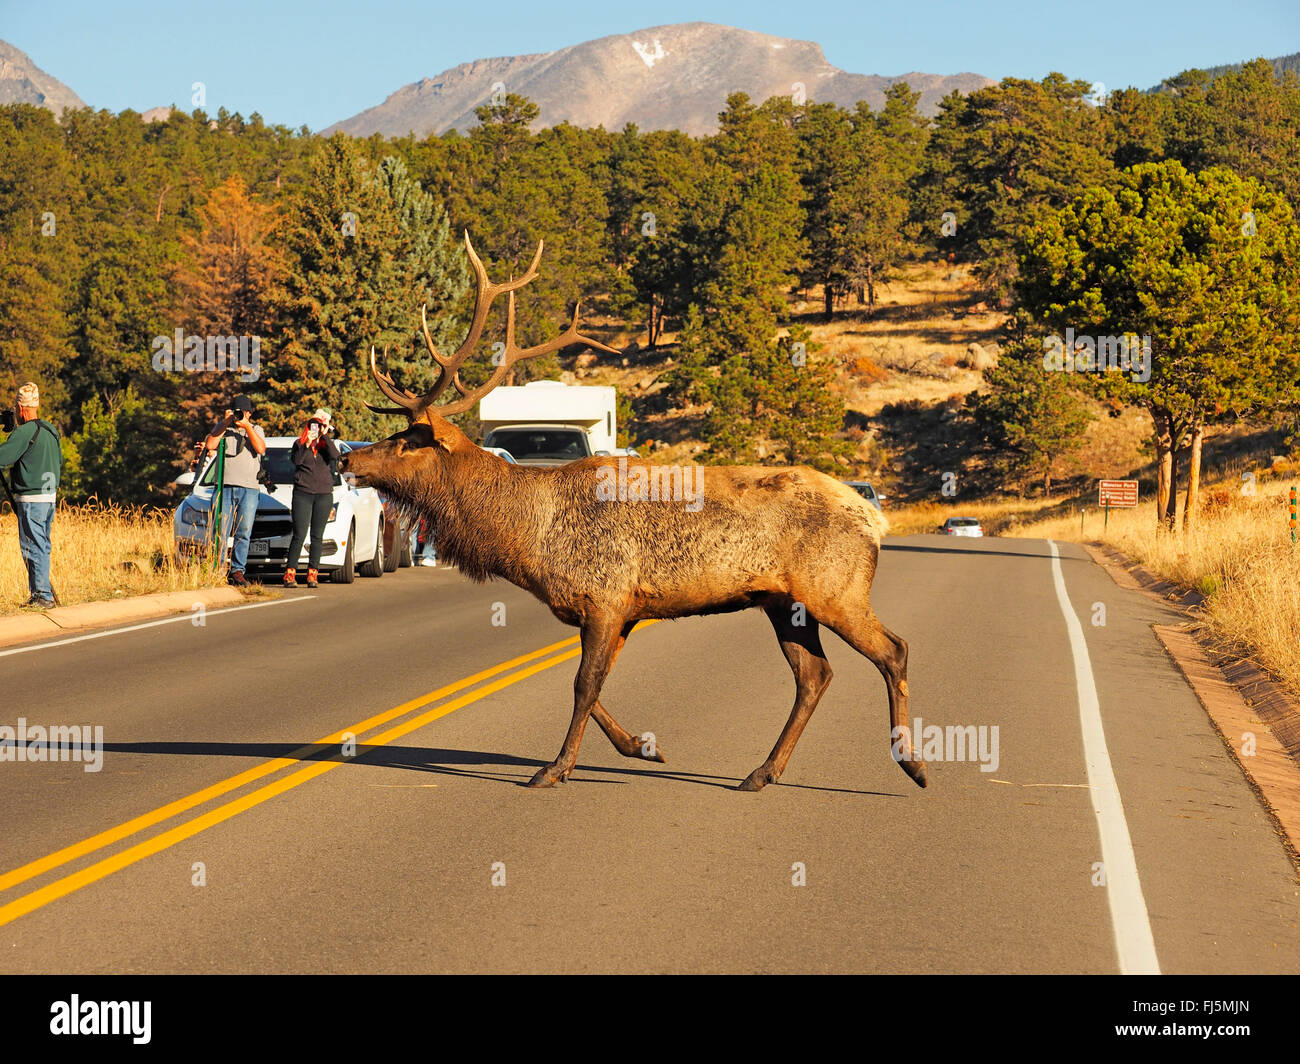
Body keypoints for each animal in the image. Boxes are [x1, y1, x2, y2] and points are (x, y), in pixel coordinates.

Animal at [338, 238, 925, 785]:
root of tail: (874, 518)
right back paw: (762, 772)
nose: (347, 456)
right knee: (815, 675)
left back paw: (912, 763)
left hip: (835, 589)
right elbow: (589, 686)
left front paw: (555, 768)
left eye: (408, 441)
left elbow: (582, 685)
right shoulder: (615, 611)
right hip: (783, 602)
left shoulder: (605, 598)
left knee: (893, 650)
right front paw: (643, 747)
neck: (528, 540)